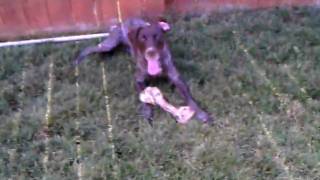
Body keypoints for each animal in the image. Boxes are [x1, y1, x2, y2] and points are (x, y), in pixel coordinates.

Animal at [74, 18, 214, 125]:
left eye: (157, 36)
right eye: (143, 38)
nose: (151, 52)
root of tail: (122, 21)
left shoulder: (176, 78)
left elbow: (190, 99)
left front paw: (201, 113)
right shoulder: (138, 79)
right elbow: (144, 96)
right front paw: (147, 112)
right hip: (108, 44)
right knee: (90, 48)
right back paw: (77, 60)